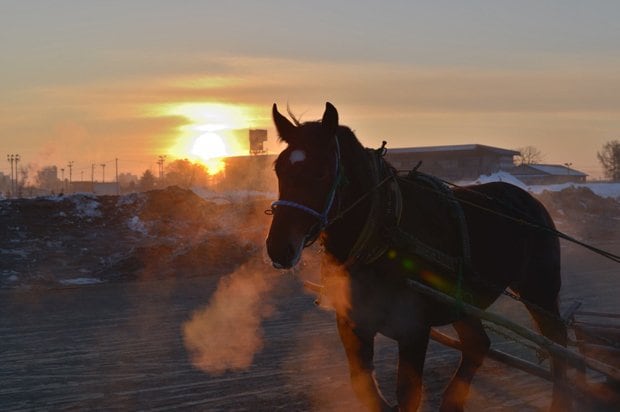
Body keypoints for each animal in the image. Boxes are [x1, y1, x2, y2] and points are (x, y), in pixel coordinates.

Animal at [266, 103, 568, 412]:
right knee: (477, 344)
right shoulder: (354, 324)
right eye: (279, 168)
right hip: (463, 301)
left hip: (539, 290)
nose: (279, 247)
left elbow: (408, 393)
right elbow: (365, 388)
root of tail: (528, 199)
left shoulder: (414, 330)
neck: (382, 237)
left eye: (322, 173)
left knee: (558, 344)